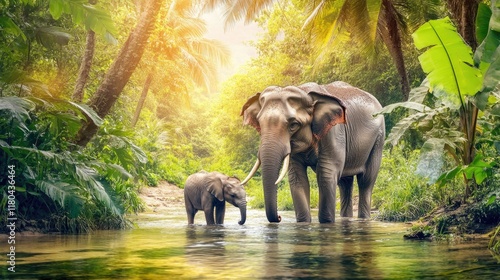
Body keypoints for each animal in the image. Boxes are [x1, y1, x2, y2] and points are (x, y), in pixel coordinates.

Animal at [240, 81, 384, 223]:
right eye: (259, 123)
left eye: (293, 125)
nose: (279, 217)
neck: (305, 92)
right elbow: (298, 178)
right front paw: (304, 223)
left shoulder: (334, 132)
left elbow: (326, 174)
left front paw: (327, 223)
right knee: (345, 183)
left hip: (378, 138)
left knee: (366, 181)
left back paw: (364, 219)